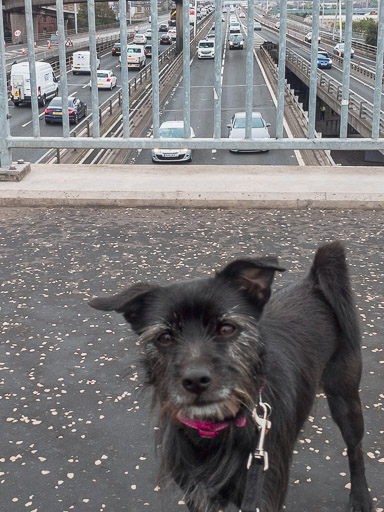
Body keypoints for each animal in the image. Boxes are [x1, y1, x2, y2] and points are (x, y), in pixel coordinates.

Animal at [89, 241, 372, 512]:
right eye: (165, 337)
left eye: (226, 328)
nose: (195, 381)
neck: (215, 432)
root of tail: (313, 283)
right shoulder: (196, 495)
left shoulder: (264, 495)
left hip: (345, 399)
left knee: (355, 449)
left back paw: (361, 497)